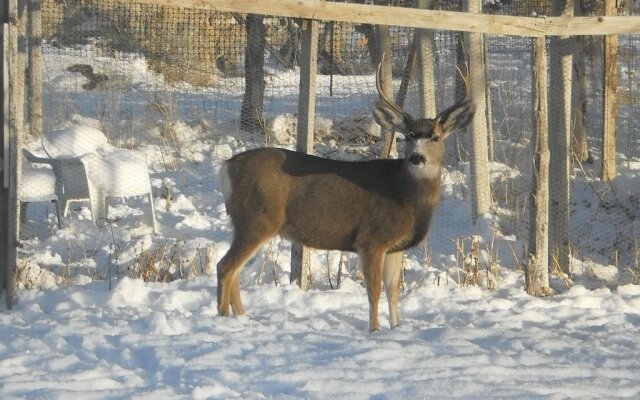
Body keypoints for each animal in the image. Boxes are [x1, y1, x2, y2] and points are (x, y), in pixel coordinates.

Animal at [218, 63, 472, 332]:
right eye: (409, 135)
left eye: (435, 137)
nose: (417, 157)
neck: (404, 196)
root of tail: (226, 167)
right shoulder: (371, 239)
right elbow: (374, 291)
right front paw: (374, 330)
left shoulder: (395, 246)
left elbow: (393, 291)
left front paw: (396, 328)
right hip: (256, 219)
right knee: (225, 266)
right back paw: (223, 318)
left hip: (248, 222)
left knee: (234, 271)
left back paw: (240, 317)